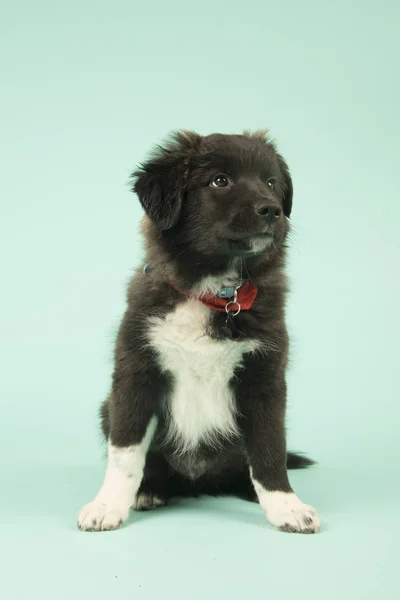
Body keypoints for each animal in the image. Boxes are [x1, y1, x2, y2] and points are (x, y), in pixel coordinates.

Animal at [78, 131, 320, 536]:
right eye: (219, 181)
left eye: (271, 183)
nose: (272, 210)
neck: (213, 293)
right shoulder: (135, 375)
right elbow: (125, 453)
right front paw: (108, 505)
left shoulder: (265, 379)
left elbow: (269, 449)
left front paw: (286, 506)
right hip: (106, 409)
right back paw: (150, 491)